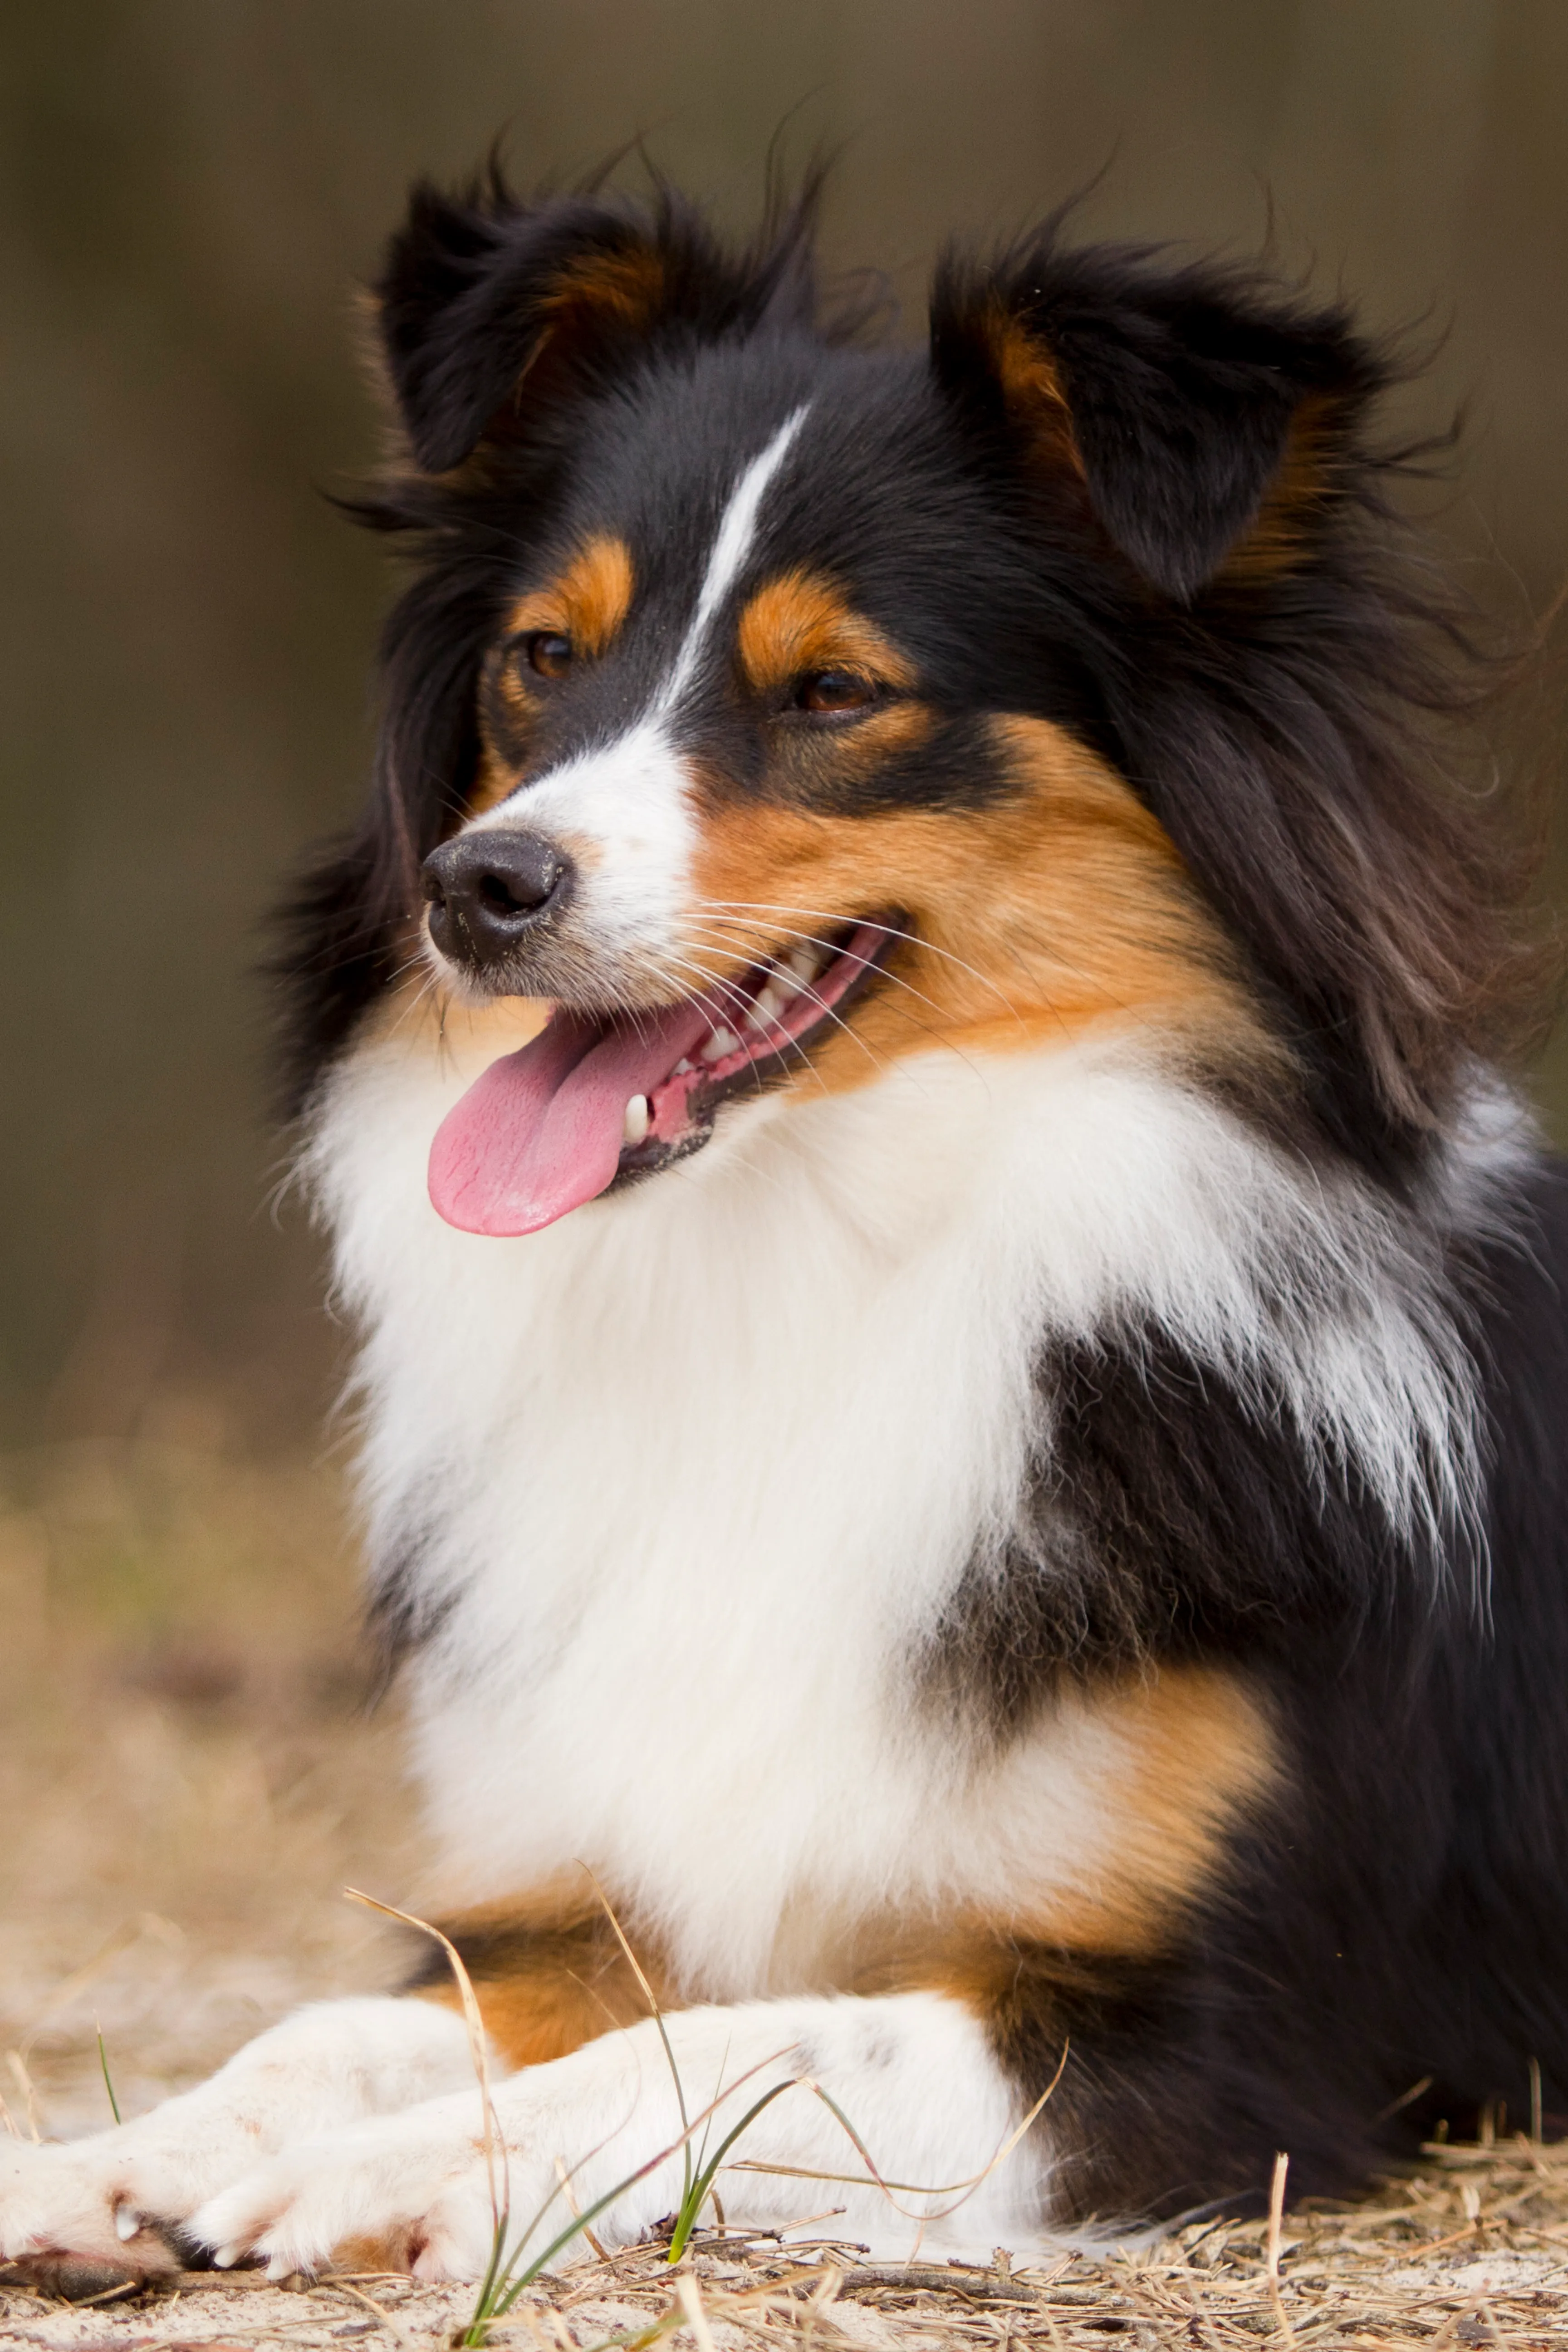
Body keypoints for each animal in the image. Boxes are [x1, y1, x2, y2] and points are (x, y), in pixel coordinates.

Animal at [3, 170, 1568, 2295]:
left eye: (833, 692)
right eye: (540, 658)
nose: (477, 885)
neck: (805, 1259)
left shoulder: (1225, 2032)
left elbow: (748, 2044)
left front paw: (390, 2172)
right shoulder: (582, 1891)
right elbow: (336, 2022)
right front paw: (125, 2150)